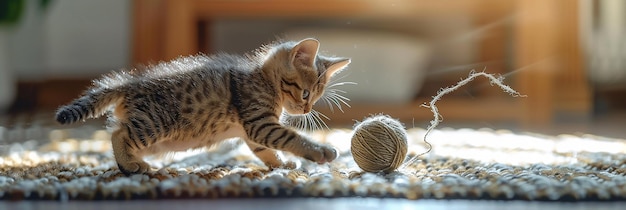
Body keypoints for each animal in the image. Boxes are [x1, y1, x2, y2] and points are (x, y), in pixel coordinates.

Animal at [55, 38, 348, 175]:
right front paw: (319, 150)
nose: (307, 110)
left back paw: (135, 161)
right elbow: (290, 137)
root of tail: (130, 82)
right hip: (157, 122)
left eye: (316, 97)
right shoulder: (259, 122)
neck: (263, 79)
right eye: (306, 93)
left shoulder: (254, 132)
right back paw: (130, 165)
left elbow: (266, 150)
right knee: (118, 133)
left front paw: (281, 164)